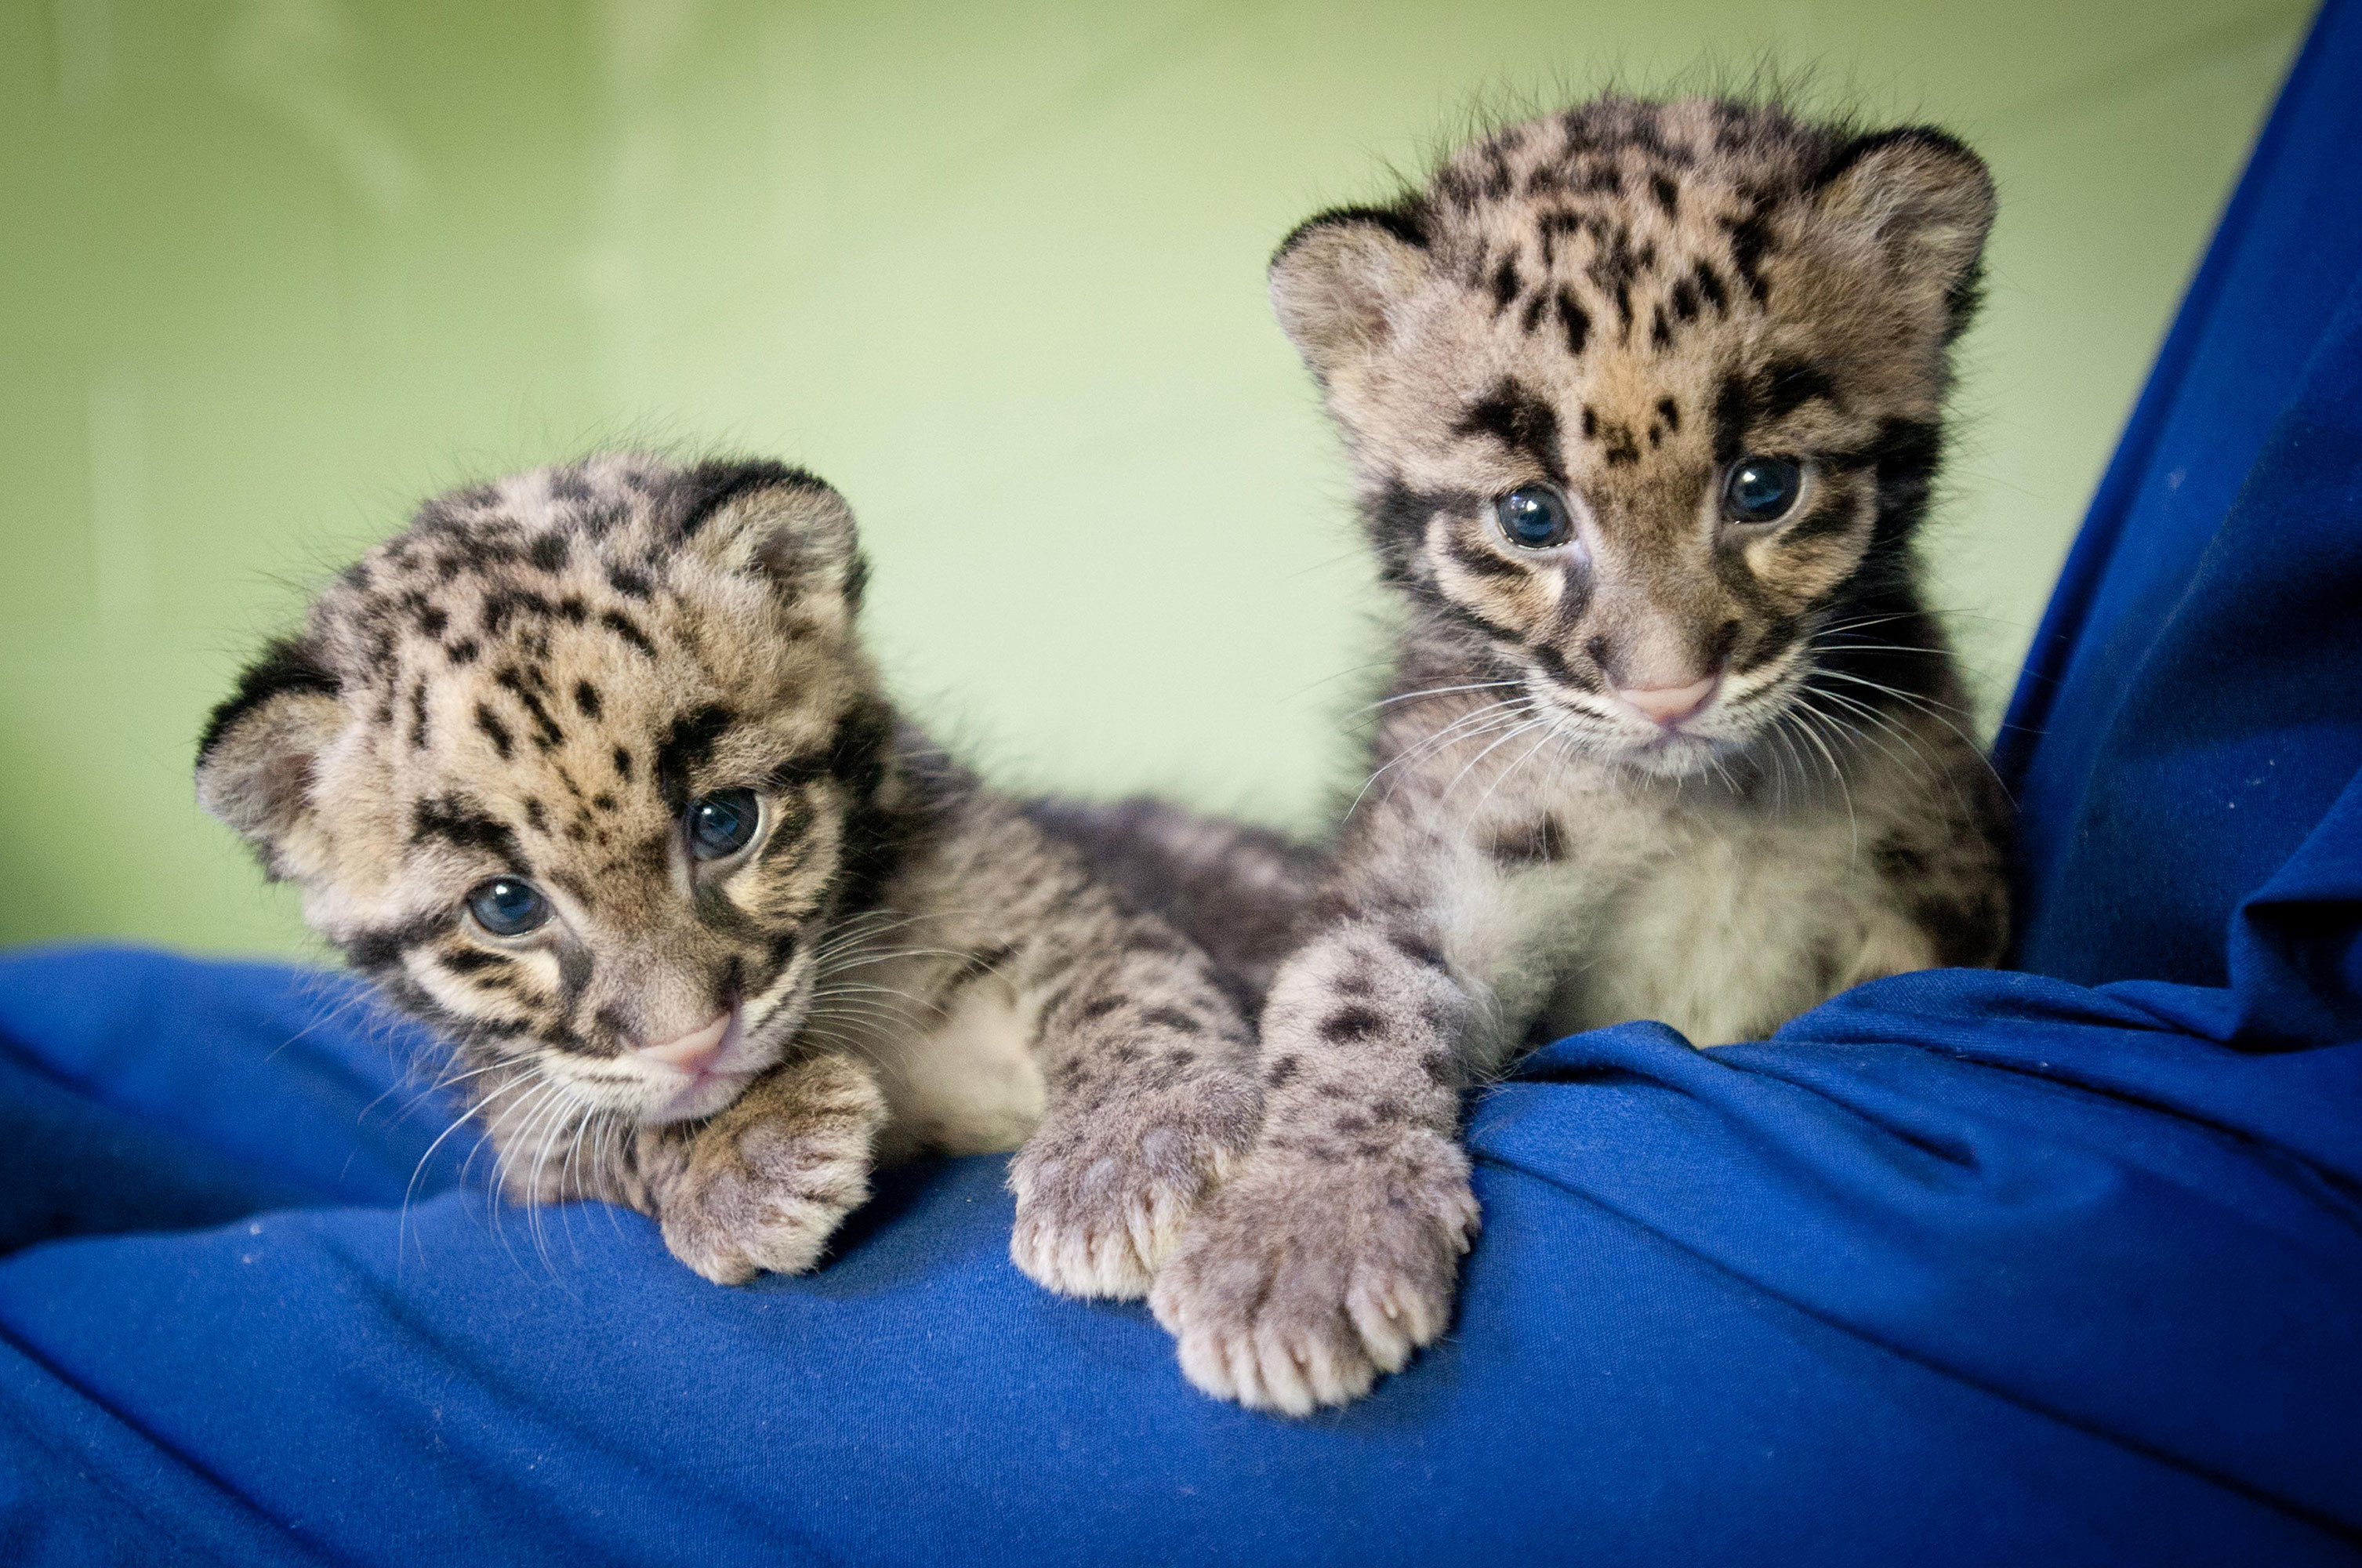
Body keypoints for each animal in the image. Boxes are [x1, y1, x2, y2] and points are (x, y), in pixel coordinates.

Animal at [196, 453, 1270, 1298]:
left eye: (723, 822)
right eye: (505, 904)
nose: (691, 1044)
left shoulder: (1051, 892)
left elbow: (1130, 983)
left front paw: (1131, 1151)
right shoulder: (525, 1133)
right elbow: (616, 1131)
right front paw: (748, 1154)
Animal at [1147, 96, 2012, 1414]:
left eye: (1763, 486)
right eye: (1530, 515)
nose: (1667, 691)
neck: (1706, 806)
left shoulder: (1940, 878)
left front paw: (1296, 1250)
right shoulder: (1442, 854)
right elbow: (1352, 997)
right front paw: (1302, 1242)